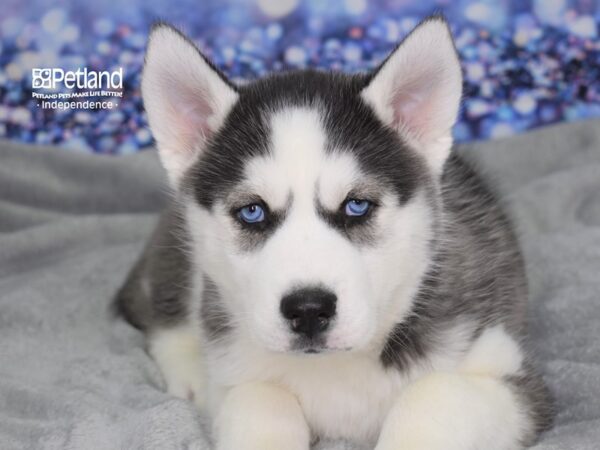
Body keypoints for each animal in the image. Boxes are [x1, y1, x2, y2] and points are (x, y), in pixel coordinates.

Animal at [116, 15, 552, 450]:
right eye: (252, 211)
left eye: (356, 206)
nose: (308, 310)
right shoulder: (238, 374)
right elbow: (259, 397)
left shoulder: (513, 378)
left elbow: (434, 391)